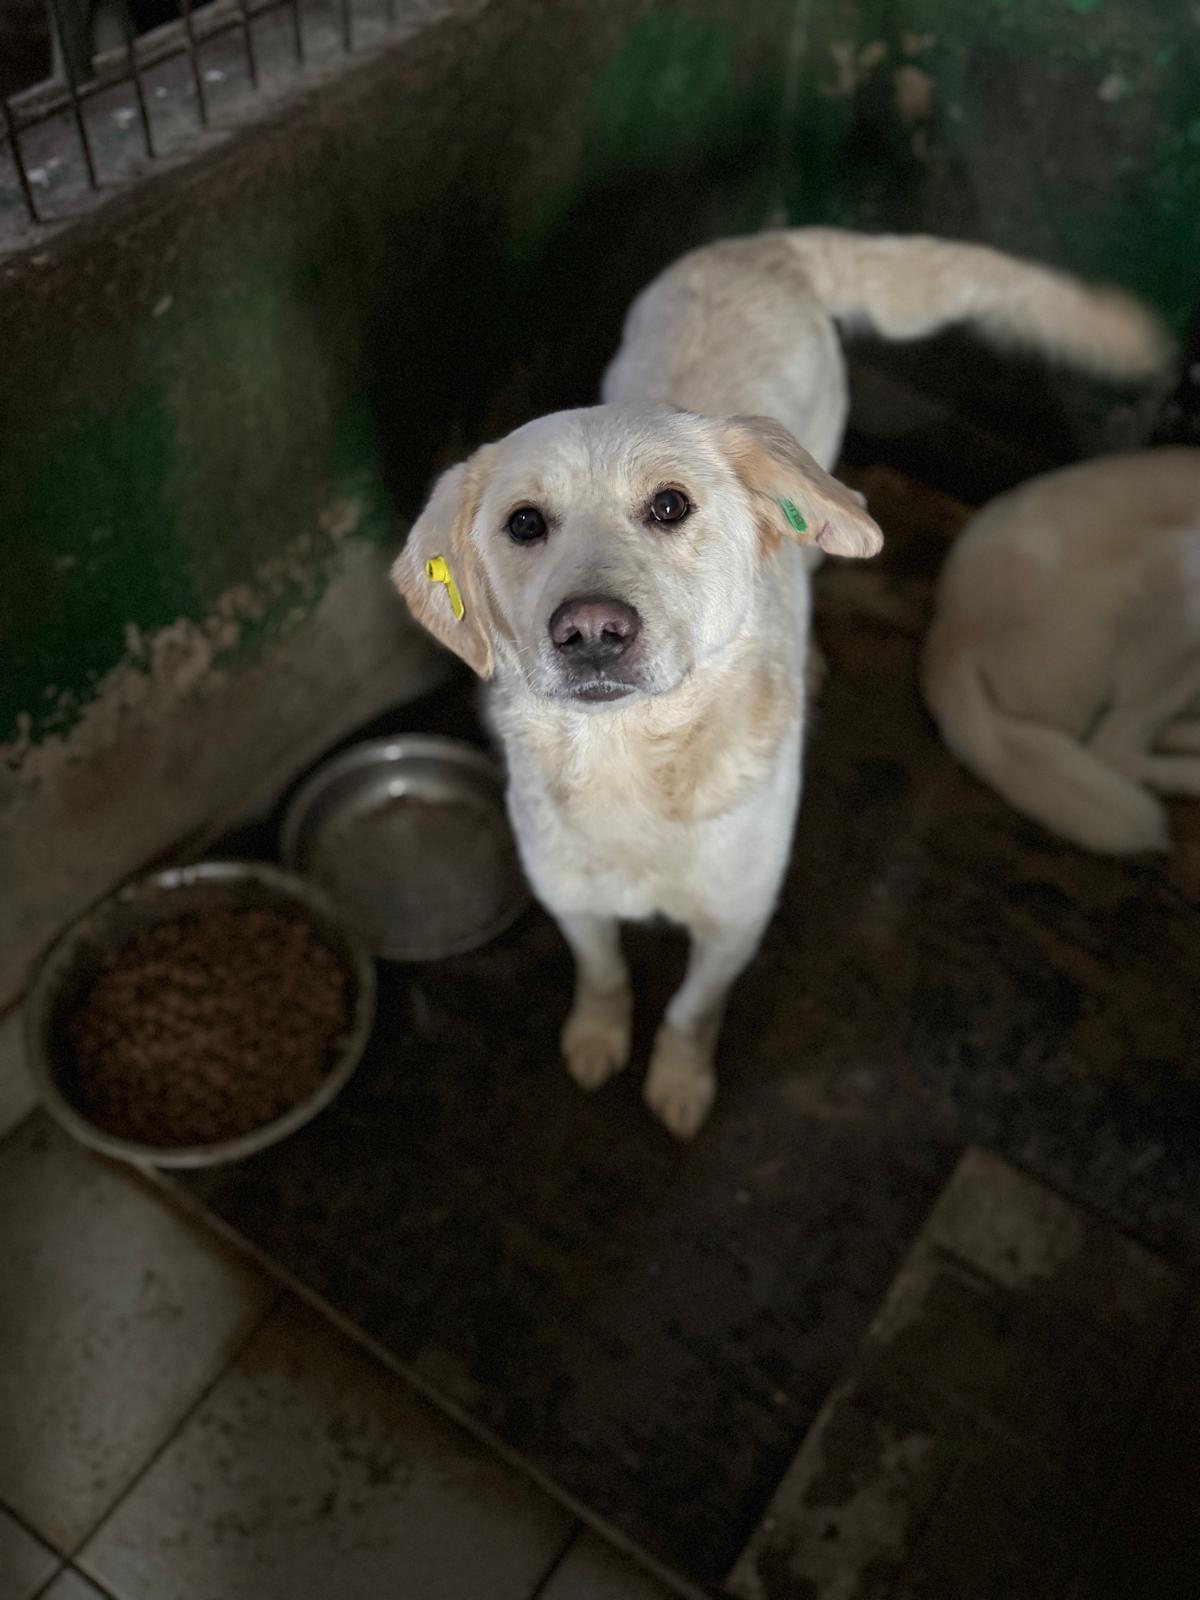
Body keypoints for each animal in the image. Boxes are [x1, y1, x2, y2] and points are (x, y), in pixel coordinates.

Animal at [393, 231, 1167, 1136]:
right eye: (523, 524)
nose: (589, 630)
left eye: (669, 506)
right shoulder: (570, 900)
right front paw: (597, 1035)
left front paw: (679, 1081)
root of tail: (764, 245)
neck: (636, 765)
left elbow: (691, 1011)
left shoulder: (735, 924)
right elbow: (604, 972)